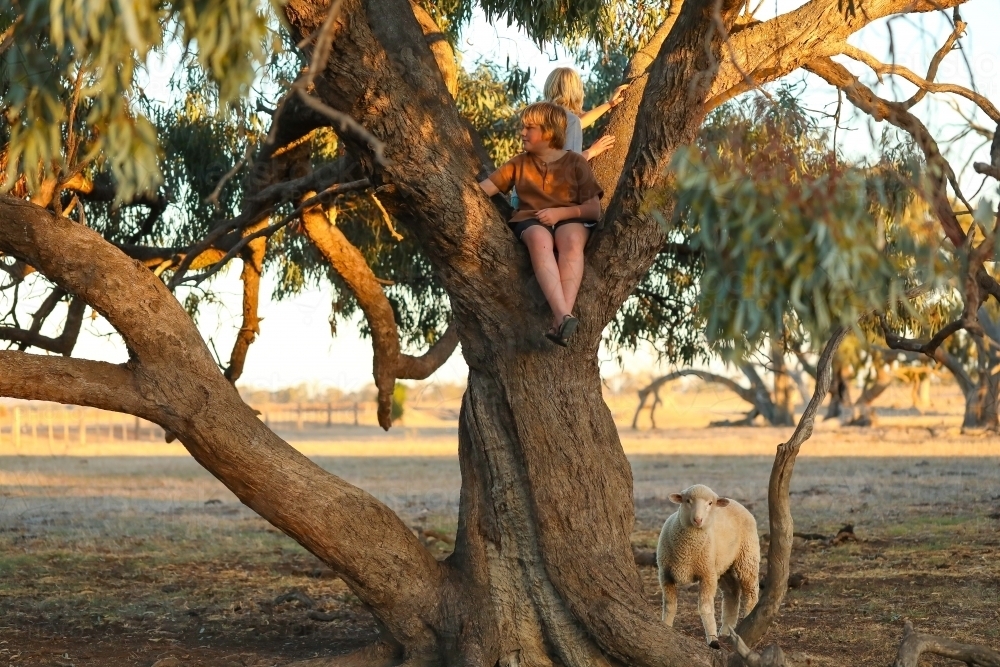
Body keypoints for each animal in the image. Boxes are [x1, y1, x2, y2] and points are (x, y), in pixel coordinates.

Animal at [656, 484, 760, 648]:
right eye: (687, 500)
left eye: (710, 503)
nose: (698, 519)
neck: (686, 551)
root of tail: (734, 502)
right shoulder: (665, 575)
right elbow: (669, 605)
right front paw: (666, 626)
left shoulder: (707, 575)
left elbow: (705, 608)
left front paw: (712, 640)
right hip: (722, 565)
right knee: (732, 592)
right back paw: (726, 630)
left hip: (747, 558)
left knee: (750, 592)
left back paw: (748, 620)